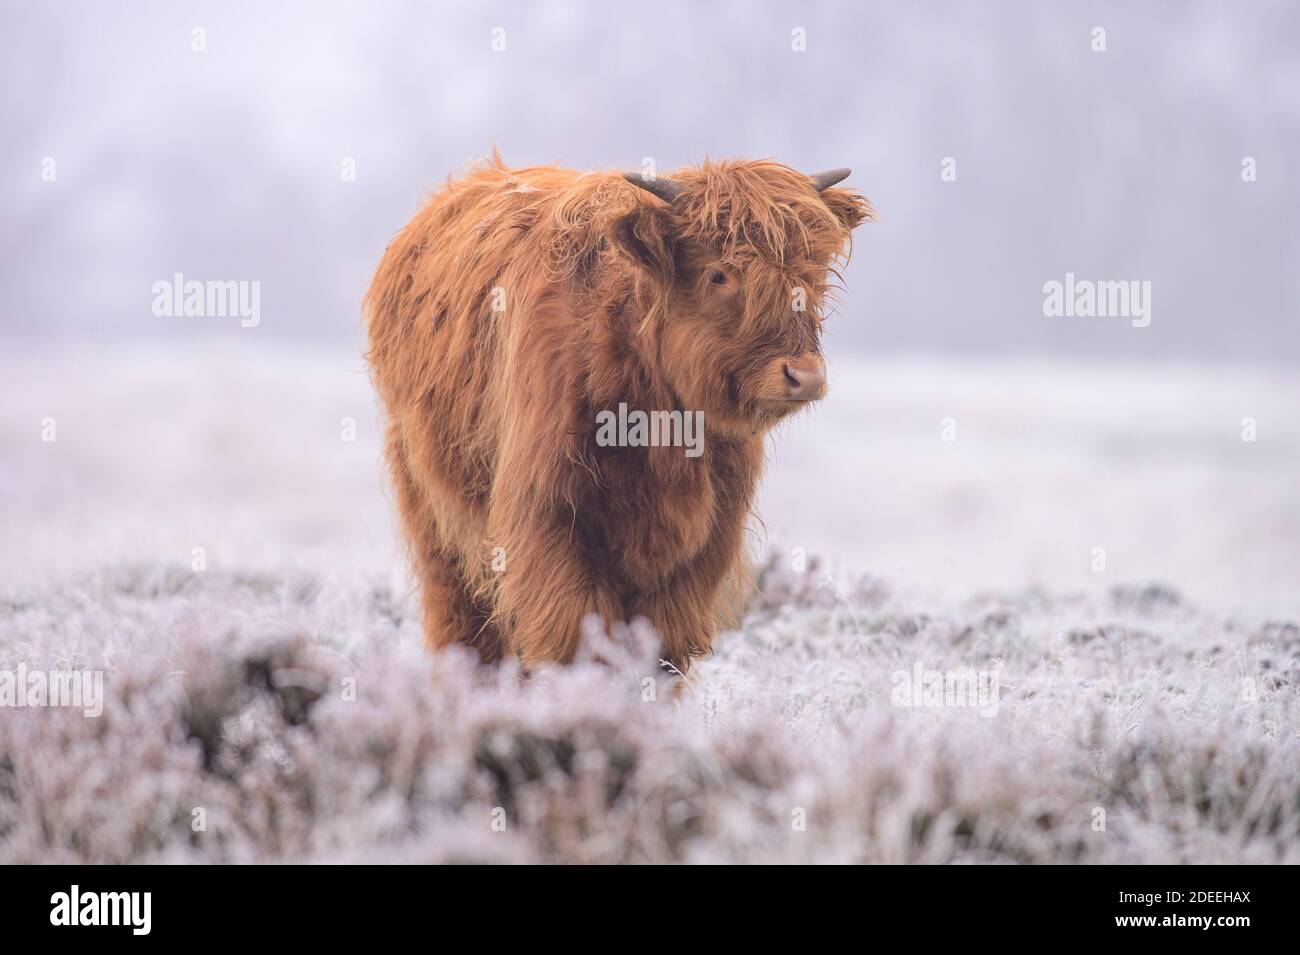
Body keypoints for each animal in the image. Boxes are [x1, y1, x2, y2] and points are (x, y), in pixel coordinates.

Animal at [366, 153, 873, 670]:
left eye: (812, 272)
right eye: (719, 274)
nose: (804, 375)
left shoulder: (707, 540)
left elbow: (663, 647)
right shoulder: (547, 521)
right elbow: (575, 640)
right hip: (435, 512)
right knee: (463, 623)